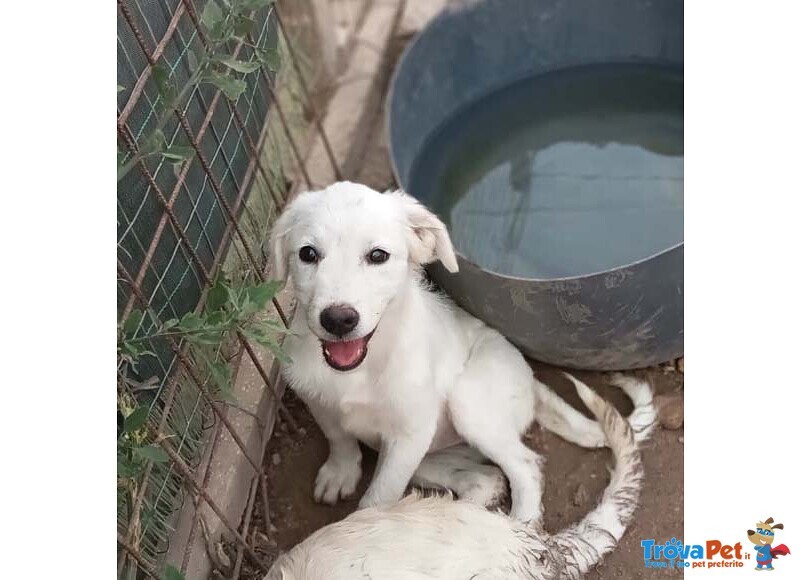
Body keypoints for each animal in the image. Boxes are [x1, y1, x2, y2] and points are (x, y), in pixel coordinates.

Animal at [270, 184, 656, 524]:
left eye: (378, 255)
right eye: (307, 254)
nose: (337, 319)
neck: (359, 370)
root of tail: (531, 381)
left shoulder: (409, 433)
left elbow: (378, 499)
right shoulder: (320, 403)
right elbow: (339, 438)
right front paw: (340, 473)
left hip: (468, 403)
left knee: (526, 464)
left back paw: (520, 525)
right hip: (428, 451)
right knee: (485, 480)